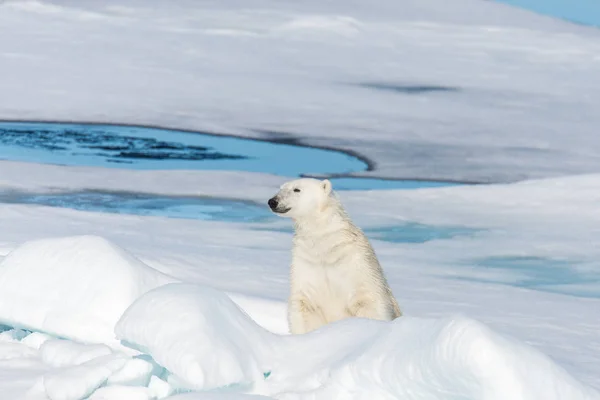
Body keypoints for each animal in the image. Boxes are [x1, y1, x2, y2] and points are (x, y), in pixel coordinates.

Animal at [268, 178, 400, 334]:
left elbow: (369, 301)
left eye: (297, 189)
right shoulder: (306, 262)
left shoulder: (357, 263)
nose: (272, 201)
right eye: (280, 188)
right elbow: (303, 304)